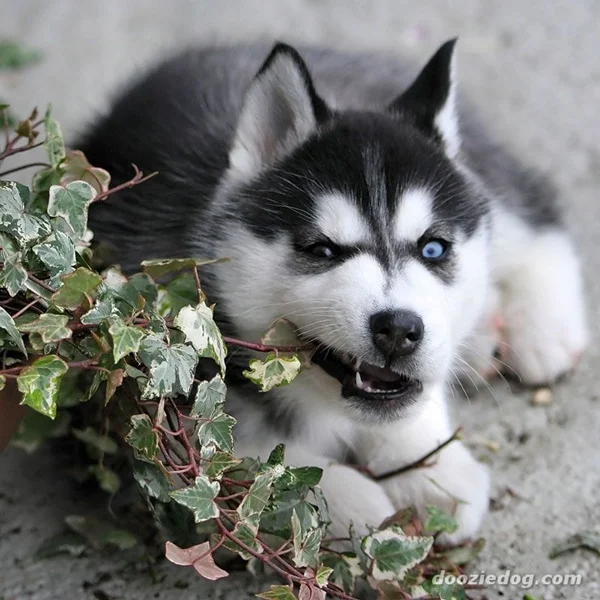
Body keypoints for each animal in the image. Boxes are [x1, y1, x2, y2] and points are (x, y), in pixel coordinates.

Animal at [82, 39, 588, 540]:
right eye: (322, 250)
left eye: (433, 249)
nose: (399, 329)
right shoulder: (148, 392)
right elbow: (247, 459)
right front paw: (344, 502)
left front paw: (430, 466)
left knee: (531, 210)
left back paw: (544, 331)